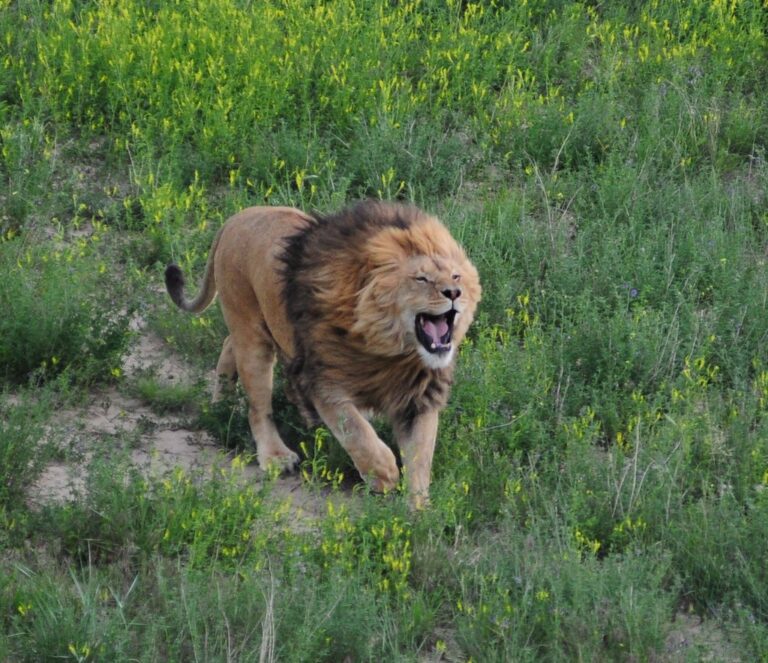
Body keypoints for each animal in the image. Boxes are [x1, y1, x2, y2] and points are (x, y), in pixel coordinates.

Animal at [165, 200, 480, 507]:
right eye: (421, 279)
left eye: (456, 276)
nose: (454, 292)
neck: (393, 350)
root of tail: (235, 218)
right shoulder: (323, 382)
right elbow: (356, 431)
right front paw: (384, 474)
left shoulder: (419, 395)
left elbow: (420, 456)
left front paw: (419, 513)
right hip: (250, 332)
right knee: (258, 406)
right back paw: (275, 456)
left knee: (229, 345)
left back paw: (220, 407)